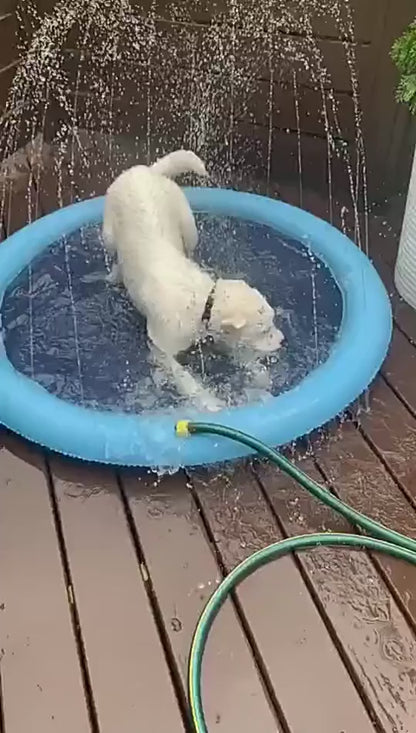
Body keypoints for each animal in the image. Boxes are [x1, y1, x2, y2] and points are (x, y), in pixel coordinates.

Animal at [102, 151, 284, 408]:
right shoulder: (162, 348)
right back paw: (114, 274)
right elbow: (185, 378)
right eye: (264, 329)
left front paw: (258, 373)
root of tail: (145, 170)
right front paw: (209, 402)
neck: (202, 301)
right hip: (108, 231)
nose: (282, 341)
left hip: (188, 225)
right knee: (114, 253)